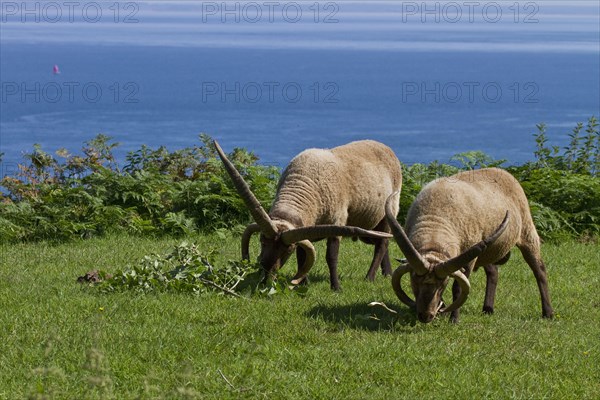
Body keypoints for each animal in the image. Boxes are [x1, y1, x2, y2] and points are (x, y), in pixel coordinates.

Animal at [212, 139, 404, 290]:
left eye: (287, 249)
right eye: (262, 240)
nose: (265, 276)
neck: (304, 182)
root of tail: (385, 147)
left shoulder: (337, 222)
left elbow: (331, 257)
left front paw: (336, 287)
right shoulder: (304, 229)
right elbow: (302, 256)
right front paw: (303, 283)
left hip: (389, 210)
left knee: (382, 244)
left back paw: (369, 277)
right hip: (370, 224)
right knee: (381, 240)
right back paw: (387, 273)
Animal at [384, 167, 552, 324]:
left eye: (443, 283)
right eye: (414, 279)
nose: (426, 316)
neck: (435, 225)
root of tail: (504, 172)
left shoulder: (469, 258)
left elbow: (458, 288)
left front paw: (454, 319)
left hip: (527, 232)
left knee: (539, 270)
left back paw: (548, 313)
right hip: (486, 249)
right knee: (493, 272)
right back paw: (487, 309)